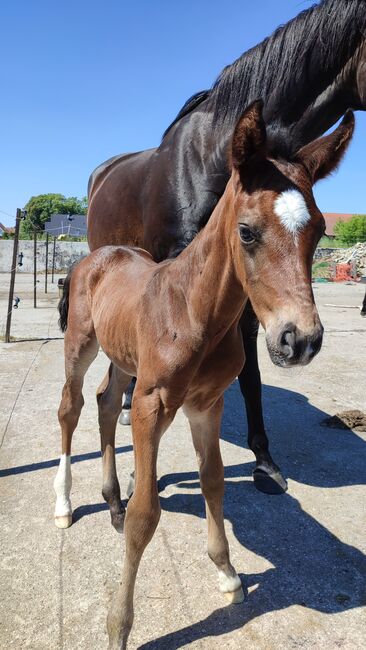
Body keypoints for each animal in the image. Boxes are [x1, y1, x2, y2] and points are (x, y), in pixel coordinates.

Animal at [55, 104, 354, 644]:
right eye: (247, 231)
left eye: (319, 230)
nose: (299, 339)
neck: (195, 311)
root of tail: (97, 255)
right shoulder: (152, 403)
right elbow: (146, 512)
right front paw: (119, 626)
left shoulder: (206, 403)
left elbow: (213, 481)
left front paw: (228, 573)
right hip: (80, 345)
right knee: (71, 408)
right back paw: (65, 504)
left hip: (122, 357)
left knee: (107, 402)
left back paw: (110, 500)